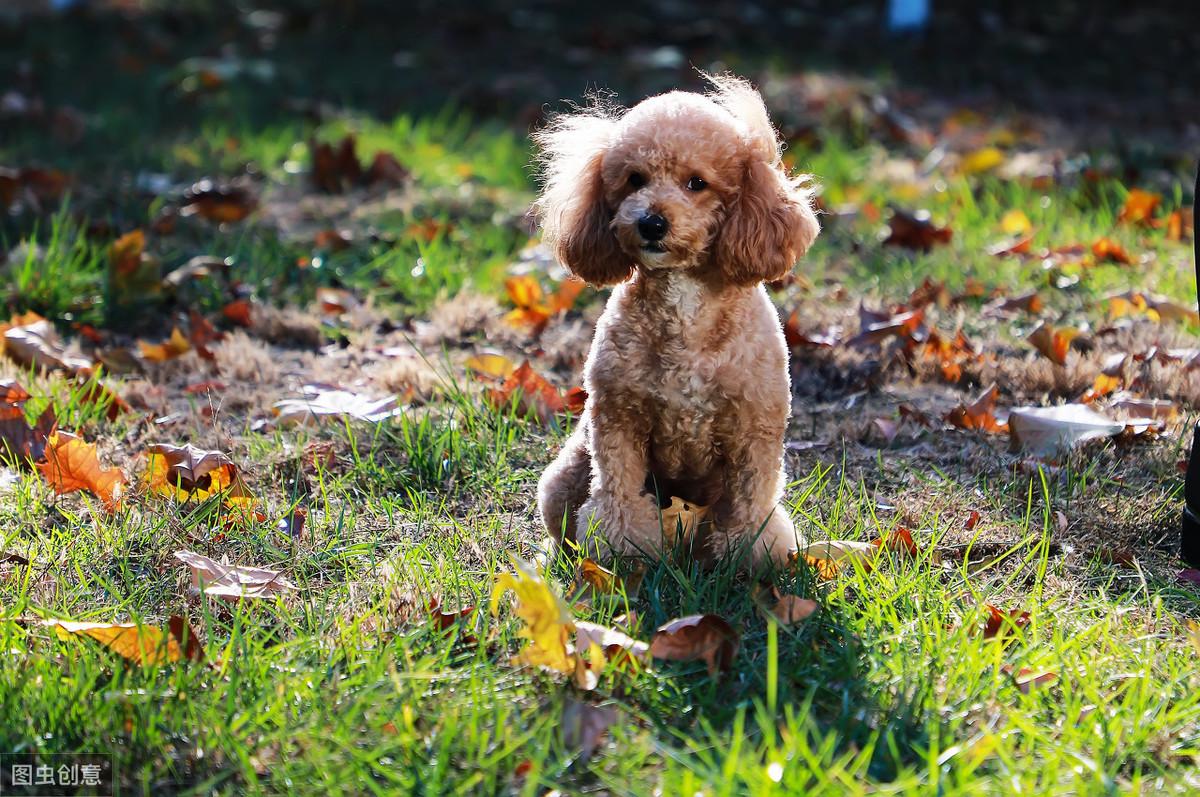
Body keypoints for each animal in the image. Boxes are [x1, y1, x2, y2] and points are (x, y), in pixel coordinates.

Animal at [532, 71, 816, 564]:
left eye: (697, 183)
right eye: (635, 179)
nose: (651, 222)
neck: (684, 307)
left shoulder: (754, 428)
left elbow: (750, 504)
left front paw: (750, 555)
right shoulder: (619, 419)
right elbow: (618, 495)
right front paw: (621, 550)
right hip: (566, 474)